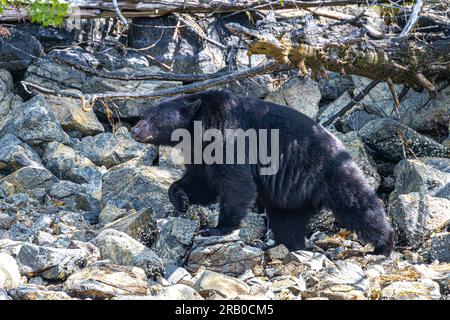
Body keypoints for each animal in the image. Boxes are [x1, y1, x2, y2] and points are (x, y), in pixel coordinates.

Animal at [131, 89, 394, 256]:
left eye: (153, 117)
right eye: (142, 115)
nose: (134, 130)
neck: (199, 125)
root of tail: (344, 150)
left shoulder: (228, 135)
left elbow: (237, 184)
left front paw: (217, 227)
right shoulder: (199, 151)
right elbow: (202, 182)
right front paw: (181, 198)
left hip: (330, 174)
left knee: (358, 205)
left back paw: (384, 243)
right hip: (294, 196)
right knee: (287, 221)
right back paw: (290, 245)